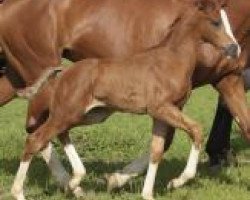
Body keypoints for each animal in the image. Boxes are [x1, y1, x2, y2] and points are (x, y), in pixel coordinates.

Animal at [0, 0, 245, 197]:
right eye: (215, 22)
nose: (234, 48)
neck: (171, 58)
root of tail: (64, 72)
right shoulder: (161, 108)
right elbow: (195, 130)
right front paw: (177, 181)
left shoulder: (163, 114)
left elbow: (157, 149)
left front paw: (145, 193)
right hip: (68, 112)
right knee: (35, 138)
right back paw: (21, 192)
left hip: (88, 114)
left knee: (58, 133)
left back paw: (75, 181)